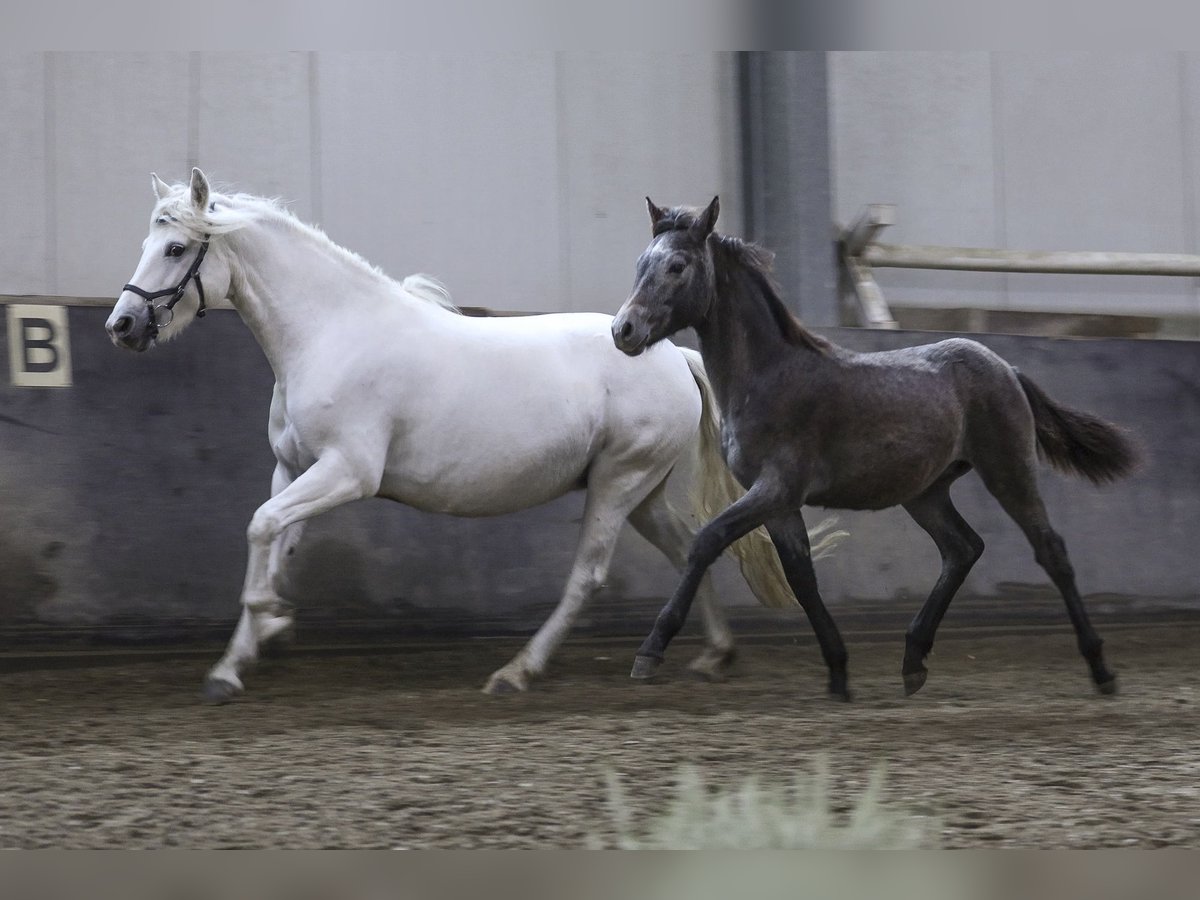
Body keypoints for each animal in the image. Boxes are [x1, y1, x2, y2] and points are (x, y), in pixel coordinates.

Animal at [105, 169, 835, 705]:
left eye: (176, 248)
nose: (122, 325)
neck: (329, 333)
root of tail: (671, 356)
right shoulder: (294, 469)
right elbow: (272, 540)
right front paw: (234, 664)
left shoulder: (348, 472)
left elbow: (261, 530)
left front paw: (270, 621)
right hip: (640, 491)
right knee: (689, 548)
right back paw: (713, 655)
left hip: (618, 483)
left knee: (589, 576)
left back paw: (517, 672)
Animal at [614, 199, 1137, 705]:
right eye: (640, 263)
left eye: (677, 265)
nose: (624, 330)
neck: (769, 375)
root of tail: (1006, 367)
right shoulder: (779, 503)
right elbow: (801, 576)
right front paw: (838, 673)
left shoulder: (776, 487)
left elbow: (706, 541)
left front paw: (649, 652)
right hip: (926, 492)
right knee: (963, 549)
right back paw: (913, 661)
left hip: (1008, 468)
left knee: (1050, 550)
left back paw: (1102, 670)